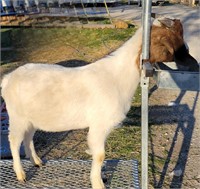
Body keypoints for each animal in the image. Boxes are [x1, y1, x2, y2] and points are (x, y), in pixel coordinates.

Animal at [0, 17, 198, 188]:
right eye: (180, 46)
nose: (195, 65)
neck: (117, 78)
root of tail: (8, 78)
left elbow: (98, 154)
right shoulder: (98, 125)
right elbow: (100, 155)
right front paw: (98, 183)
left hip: (31, 119)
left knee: (28, 138)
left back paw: (36, 161)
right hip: (17, 117)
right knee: (14, 141)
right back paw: (20, 174)